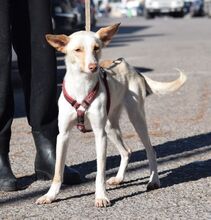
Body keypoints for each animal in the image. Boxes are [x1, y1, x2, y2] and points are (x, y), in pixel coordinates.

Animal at [35, 23, 186, 207]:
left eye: (96, 48)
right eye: (77, 50)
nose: (93, 67)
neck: (81, 86)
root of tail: (132, 68)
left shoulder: (100, 135)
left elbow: (100, 172)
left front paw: (101, 196)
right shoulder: (63, 135)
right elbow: (58, 171)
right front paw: (50, 195)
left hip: (136, 118)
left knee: (151, 151)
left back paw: (154, 181)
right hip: (110, 125)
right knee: (126, 151)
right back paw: (119, 178)